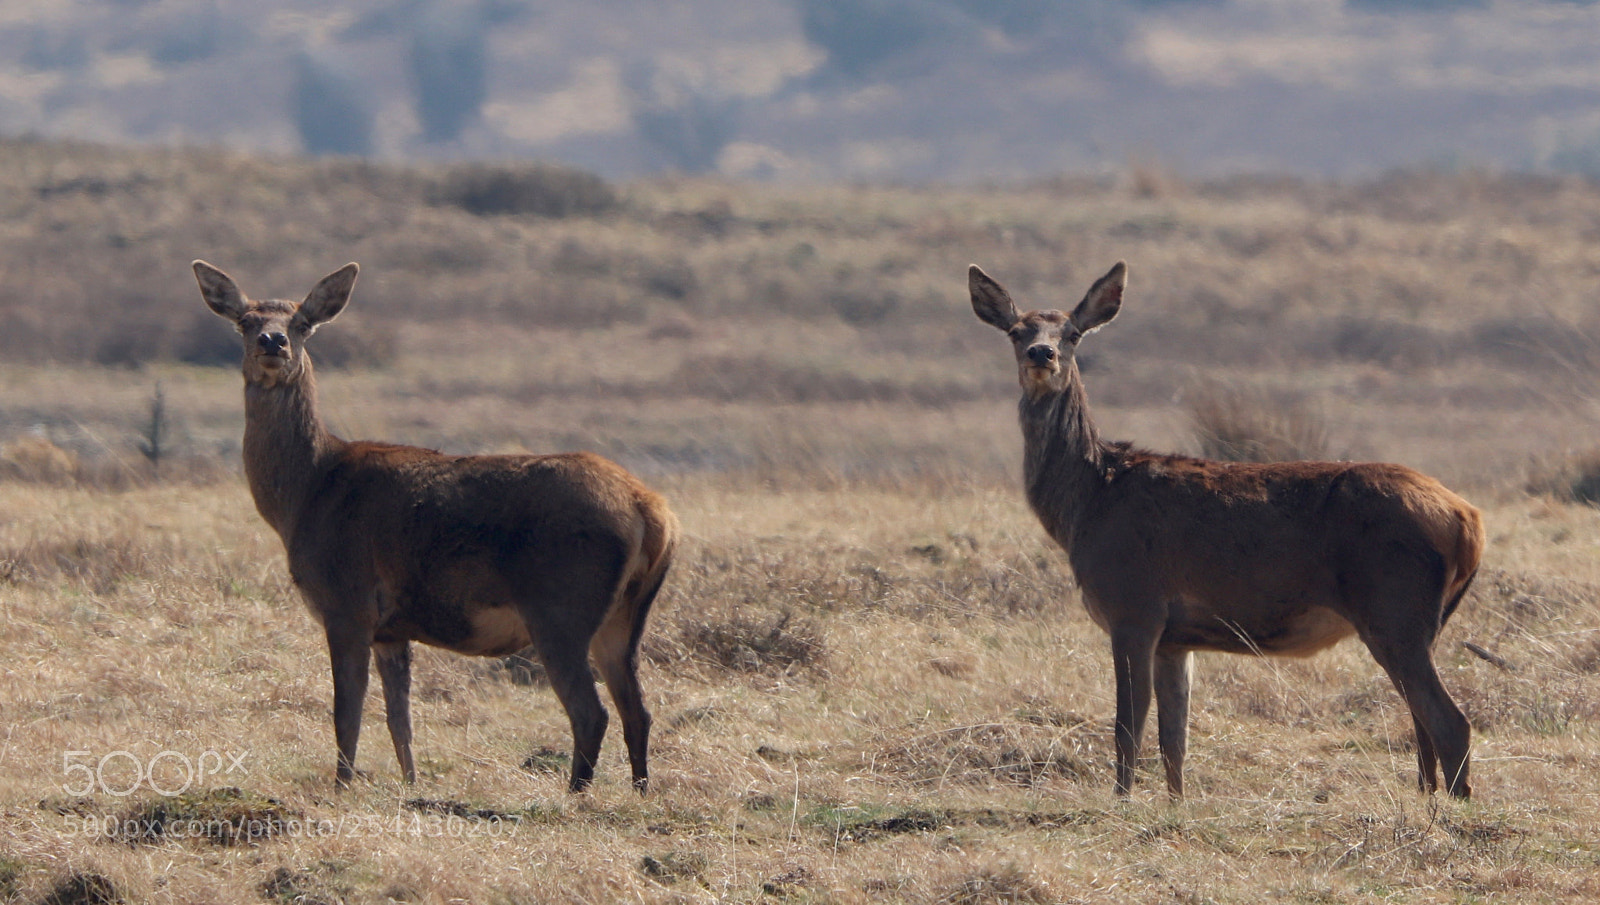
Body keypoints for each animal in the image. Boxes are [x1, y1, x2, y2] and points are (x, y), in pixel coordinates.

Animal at [194, 260, 678, 794]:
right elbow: (399, 718)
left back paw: (573, 795)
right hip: (625, 615)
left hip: (562, 604)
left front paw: (342, 787)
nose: (273, 341)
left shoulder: (347, 602)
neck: (304, 496)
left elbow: (347, 714)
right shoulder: (391, 628)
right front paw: (411, 784)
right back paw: (639, 792)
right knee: (638, 711)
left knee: (592, 713)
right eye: (245, 321)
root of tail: (651, 510)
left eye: (301, 324)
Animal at [970, 261, 1483, 799]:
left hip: (1393, 606)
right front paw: (1176, 805)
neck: (1088, 504)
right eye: (1016, 331)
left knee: (1449, 722)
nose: (1041, 354)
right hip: (1422, 620)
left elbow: (1127, 727)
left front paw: (1121, 803)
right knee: (1423, 725)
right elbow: (1174, 738)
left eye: (1071, 333)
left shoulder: (1133, 605)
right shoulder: (1176, 637)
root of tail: (1469, 520)